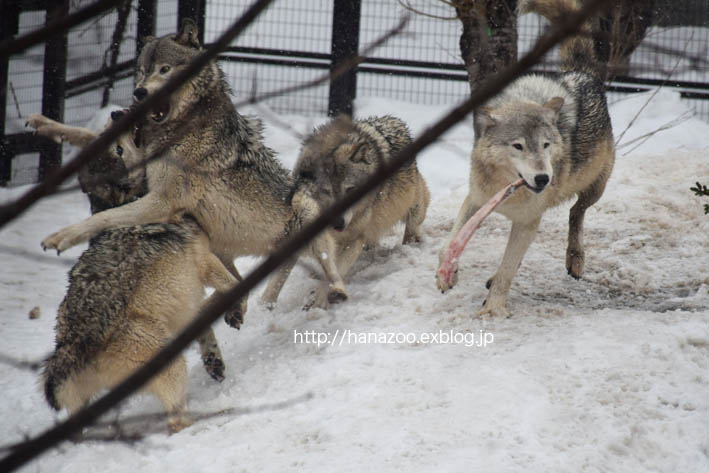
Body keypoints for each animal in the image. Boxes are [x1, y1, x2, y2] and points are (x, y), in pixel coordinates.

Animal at [39, 19, 294, 328]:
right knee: (236, 279)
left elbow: (104, 217)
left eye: (165, 69)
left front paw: (62, 236)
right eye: (142, 71)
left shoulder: (163, 201)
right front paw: (42, 124)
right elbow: (87, 136)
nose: (139, 93)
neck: (181, 125)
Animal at [43, 216, 238, 434]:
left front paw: (214, 360)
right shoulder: (205, 260)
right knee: (176, 423)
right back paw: (217, 415)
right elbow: (233, 283)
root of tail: (69, 345)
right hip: (173, 364)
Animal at [260, 115, 426, 308]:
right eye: (326, 191)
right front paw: (264, 306)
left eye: (351, 190)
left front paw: (320, 302)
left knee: (410, 230)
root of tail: (395, 120)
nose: (337, 223)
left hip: (413, 211)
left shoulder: (355, 239)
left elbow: (336, 271)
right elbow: (276, 280)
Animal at [434, 0, 612, 318]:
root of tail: (581, 73)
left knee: (576, 212)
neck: (508, 189)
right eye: (518, 146)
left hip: (595, 188)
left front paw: (493, 311)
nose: (543, 178)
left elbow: (507, 269)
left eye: (545, 145)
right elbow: (450, 242)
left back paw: (575, 258)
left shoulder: (527, 221)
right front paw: (447, 275)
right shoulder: (476, 199)